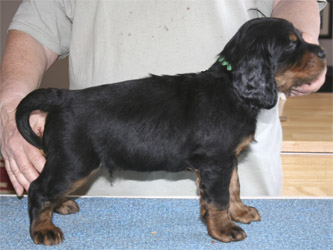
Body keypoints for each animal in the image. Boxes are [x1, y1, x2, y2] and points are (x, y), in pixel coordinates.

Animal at [15, 18, 324, 246]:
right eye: (291, 44)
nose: (322, 53)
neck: (232, 88)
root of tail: (62, 97)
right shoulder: (216, 161)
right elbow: (219, 197)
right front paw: (224, 229)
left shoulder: (227, 160)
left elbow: (233, 186)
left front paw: (240, 212)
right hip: (75, 162)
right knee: (38, 188)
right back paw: (43, 229)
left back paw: (61, 205)